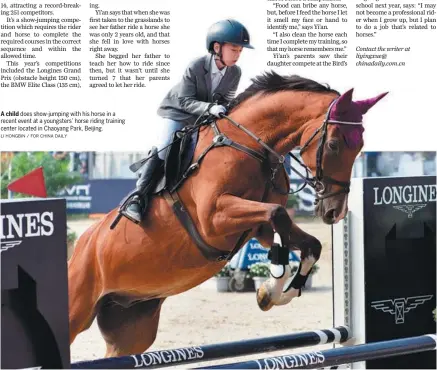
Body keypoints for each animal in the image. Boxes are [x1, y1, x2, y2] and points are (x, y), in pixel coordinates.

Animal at [67, 71, 384, 356]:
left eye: (360, 146)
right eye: (333, 144)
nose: (334, 211)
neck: (252, 146)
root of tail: (81, 247)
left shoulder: (257, 229)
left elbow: (307, 242)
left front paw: (274, 293)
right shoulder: (213, 221)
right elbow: (278, 214)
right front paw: (271, 286)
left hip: (131, 323)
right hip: (77, 309)